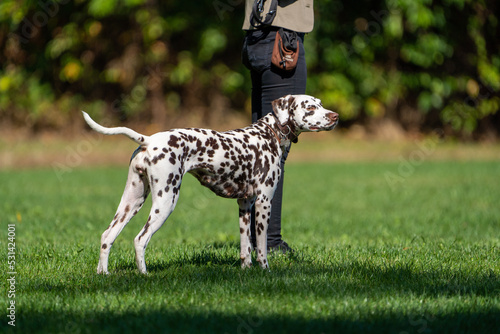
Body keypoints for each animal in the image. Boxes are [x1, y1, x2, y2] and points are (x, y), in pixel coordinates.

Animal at [83, 94, 340, 274]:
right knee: (140, 239)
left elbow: (246, 249)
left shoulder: (245, 205)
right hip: (165, 202)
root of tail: (149, 140)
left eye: (320, 103)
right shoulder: (264, 203)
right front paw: (266, 271)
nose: (335, 116)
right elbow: (261, 248)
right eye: (310, 107)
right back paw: (144, 274)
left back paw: (103, 273)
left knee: (107, 236)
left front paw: (247, 271)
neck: (269, 134)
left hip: (131, 202)